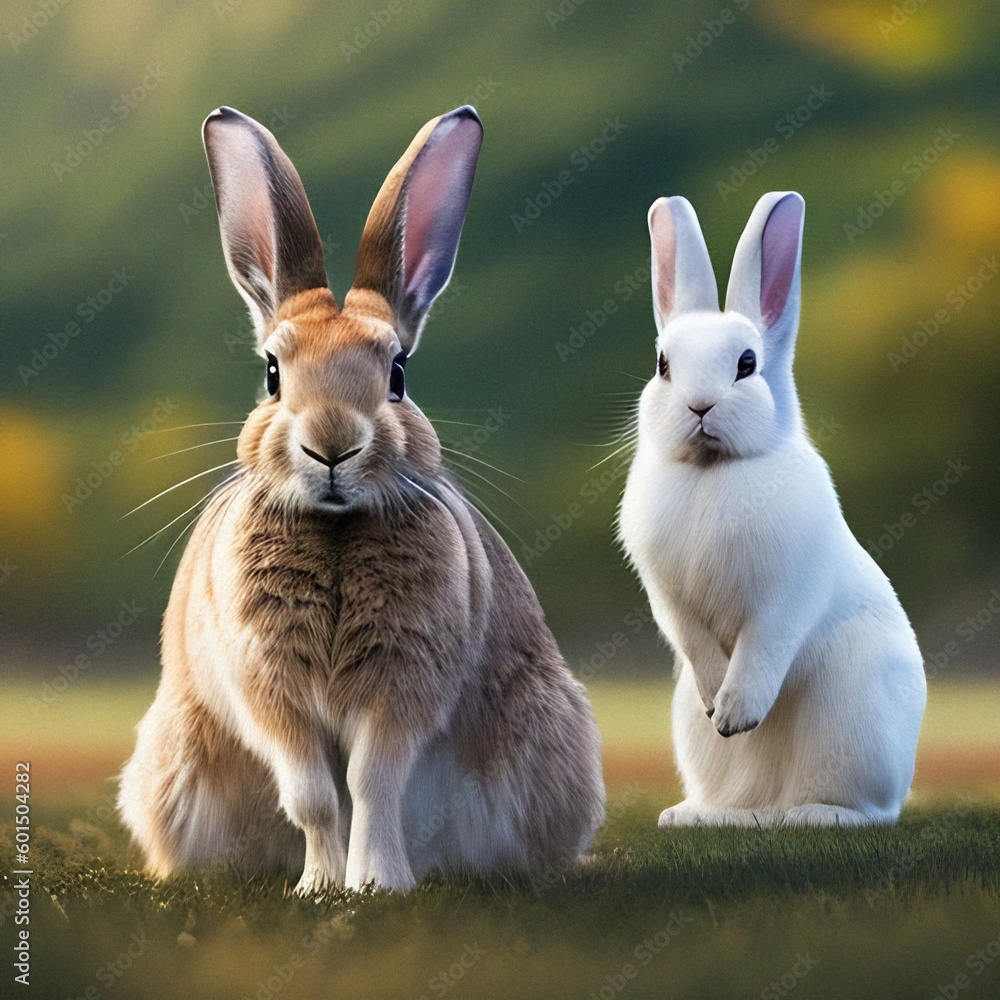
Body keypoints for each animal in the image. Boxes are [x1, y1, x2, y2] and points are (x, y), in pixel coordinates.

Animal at [118, 105, 605, 893]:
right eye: (272, 373)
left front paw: (377, 886)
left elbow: (374, 785)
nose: (332, 444)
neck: (337, 528)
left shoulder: (402, 683)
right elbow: (316, 796)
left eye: (398, 373)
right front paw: (321, 887)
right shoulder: (272, 688)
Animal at [618, 191, 926, 827]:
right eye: (663, 365)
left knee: (866, 810)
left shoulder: (784, 595)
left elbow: (764, 645)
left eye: (746, 364)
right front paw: (720, 707)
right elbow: (695, 642)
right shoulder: (670, 599)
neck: (713, 472)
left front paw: (737, 714)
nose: (700, 405)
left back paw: (816, 816)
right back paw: (697, 816)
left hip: (855, 729)